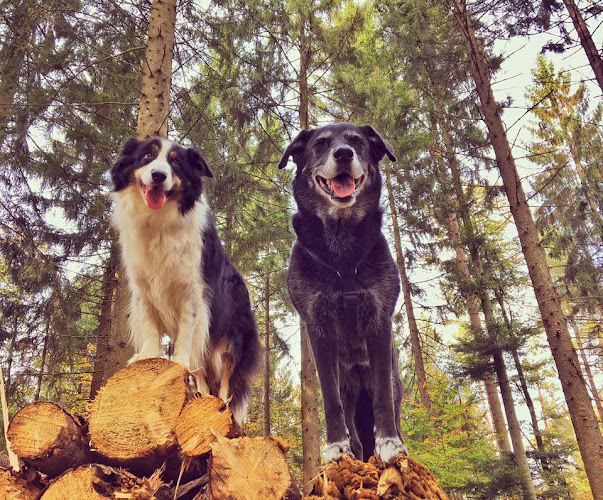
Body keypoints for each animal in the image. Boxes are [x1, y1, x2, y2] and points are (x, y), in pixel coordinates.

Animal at [111, 138, 262, 426]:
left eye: (176, 163)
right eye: (146, 156)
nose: (158, 176)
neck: (158, 221)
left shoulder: (192, 295)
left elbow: (184, 335)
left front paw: (177, 363)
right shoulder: (143, 290)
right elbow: (150, 328)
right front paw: (147, 355)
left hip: (229, 339)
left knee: (225, 381)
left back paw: (222, 408)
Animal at [280, 123, 408, 462]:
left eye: (357, 142)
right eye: (320, 144)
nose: (343, 154)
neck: (342, 252)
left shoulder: (379, 322)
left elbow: (383, 400)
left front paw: (389, 443)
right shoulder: (319, 328)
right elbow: (330, 400)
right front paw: (337, 446)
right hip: (350, 393)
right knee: (357, 437)